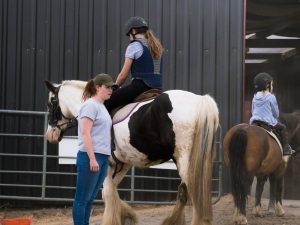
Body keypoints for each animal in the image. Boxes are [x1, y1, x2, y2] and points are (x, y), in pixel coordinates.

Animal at [44, 79, 218, 225]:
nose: (50, 134)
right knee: (185, 191)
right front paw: (127, 216)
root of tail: (200, 100)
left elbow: (108, 193)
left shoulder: (106, 163)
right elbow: (110, 193)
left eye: (51, 102)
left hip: (184, 160)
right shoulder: (122, 164)